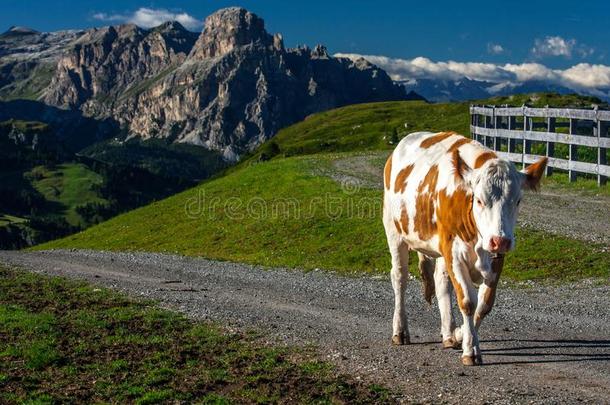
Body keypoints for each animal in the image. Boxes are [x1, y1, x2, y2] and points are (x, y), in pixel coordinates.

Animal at [380, 131, 548, 364]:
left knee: (441, 282)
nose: (500, 240)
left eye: (517, 201)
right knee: (399, 277)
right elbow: (467, 300)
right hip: (394, 231)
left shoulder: (495, 257)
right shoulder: (454, 252)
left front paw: (461, 334)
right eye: (479, 200)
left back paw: (449, 334)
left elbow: (484, 305)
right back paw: (401, 331)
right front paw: (471, 350)